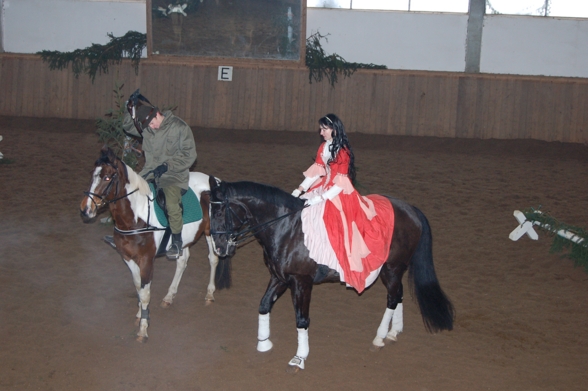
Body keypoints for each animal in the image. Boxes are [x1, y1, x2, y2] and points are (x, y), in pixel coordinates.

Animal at [79, 147, 231, 344]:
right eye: (93, 175)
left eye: (106, 178)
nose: (85, 210)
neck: (136, 217)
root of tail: (216, 181)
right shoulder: (128, 258)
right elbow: (139, 288)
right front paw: (140, 314)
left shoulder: (146, 260)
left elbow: (145, 293)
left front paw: (143, 329)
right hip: (185, 238)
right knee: (182, 261)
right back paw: (169, 296)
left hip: (211, 233)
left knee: (213, 259)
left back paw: (209, 294)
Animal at [209, 178, 458, 374]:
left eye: (220, 212)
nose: (219, 248)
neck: (286, 227)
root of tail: (410, 209)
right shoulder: (280, 278)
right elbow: (263, 305)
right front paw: (263, 343)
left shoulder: (301, 282)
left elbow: (301, 319)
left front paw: (299, 358)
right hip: (394, 270)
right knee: (399, 295)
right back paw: (393, 332)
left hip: (391, 268)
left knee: (393, 298)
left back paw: (379, 337)